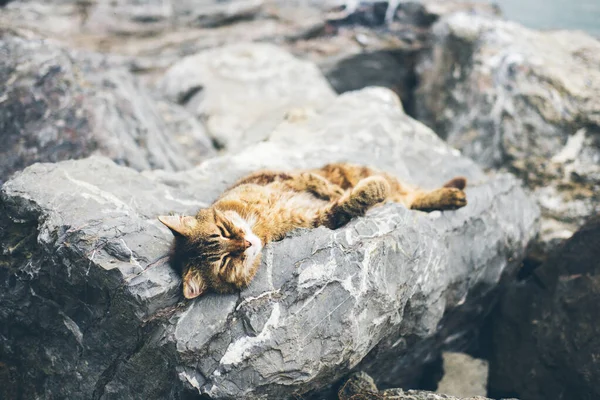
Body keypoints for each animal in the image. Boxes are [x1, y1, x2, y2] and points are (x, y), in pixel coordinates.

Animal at [157, 163, 466, 300]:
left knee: (412, 194)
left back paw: (453, 192)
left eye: (222, 231)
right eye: (223, 262)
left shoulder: (283, 176)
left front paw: (338, 189)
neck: (261, 224)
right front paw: (369, 191)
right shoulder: (316, 219)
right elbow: (345, 204)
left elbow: (314, 181)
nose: (245, 244)